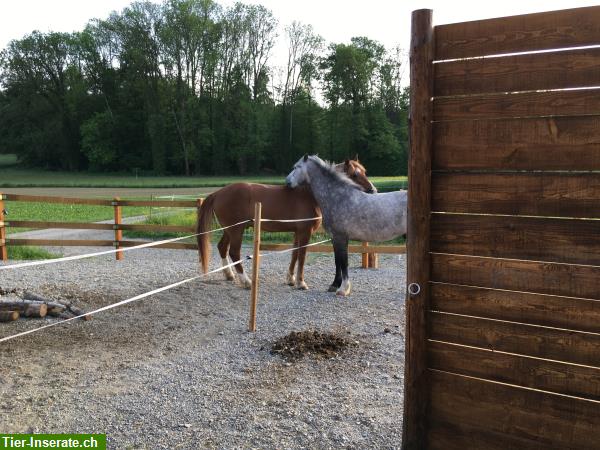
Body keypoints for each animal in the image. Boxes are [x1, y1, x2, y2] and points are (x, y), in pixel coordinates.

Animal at [197, 160, 376, 290]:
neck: (309, 195)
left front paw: (291, 279)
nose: (373, 190)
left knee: (222, 247)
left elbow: (294, 255)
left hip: (229, 230)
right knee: (234, 252)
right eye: (354, 174)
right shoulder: (305, 232)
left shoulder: (297, 232)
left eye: (365, 172)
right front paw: (301, 283)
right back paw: (247, 281)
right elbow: (302, 256)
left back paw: (229, 275)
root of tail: (219, 192)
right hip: (236, 230)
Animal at [286, 155, 408, 296]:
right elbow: (338, 261)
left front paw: (343, 289)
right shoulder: (335, 238)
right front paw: (335, 285)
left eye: (297, 167)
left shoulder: (341, 237)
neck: (338, 198)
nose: (287, 181)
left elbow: (344, 262)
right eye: (355, 174)